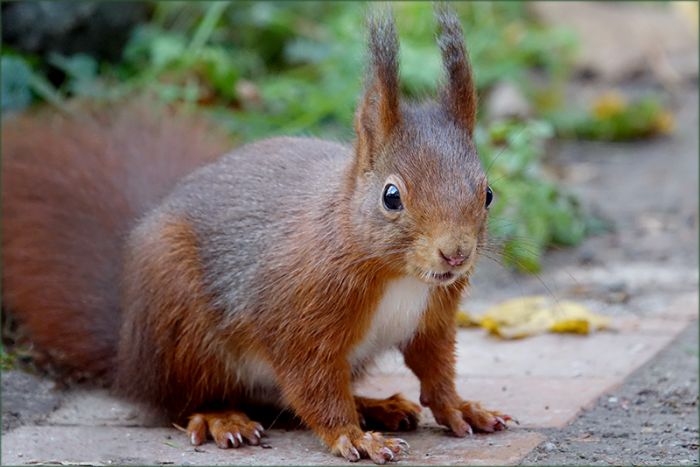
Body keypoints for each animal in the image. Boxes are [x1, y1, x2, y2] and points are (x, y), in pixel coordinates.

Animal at [2, 7, 513, 464]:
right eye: (391, 197)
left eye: (487, 193)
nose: (455, 253)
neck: (397, 274)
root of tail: (128, 355)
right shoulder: (297, 314)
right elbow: (313, 383)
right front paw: (353, 436)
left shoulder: (433, 319)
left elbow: (435, 368)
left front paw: (461, 408)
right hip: (180, 323)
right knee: (186, 399)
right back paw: (222, 418)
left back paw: (376, 405)